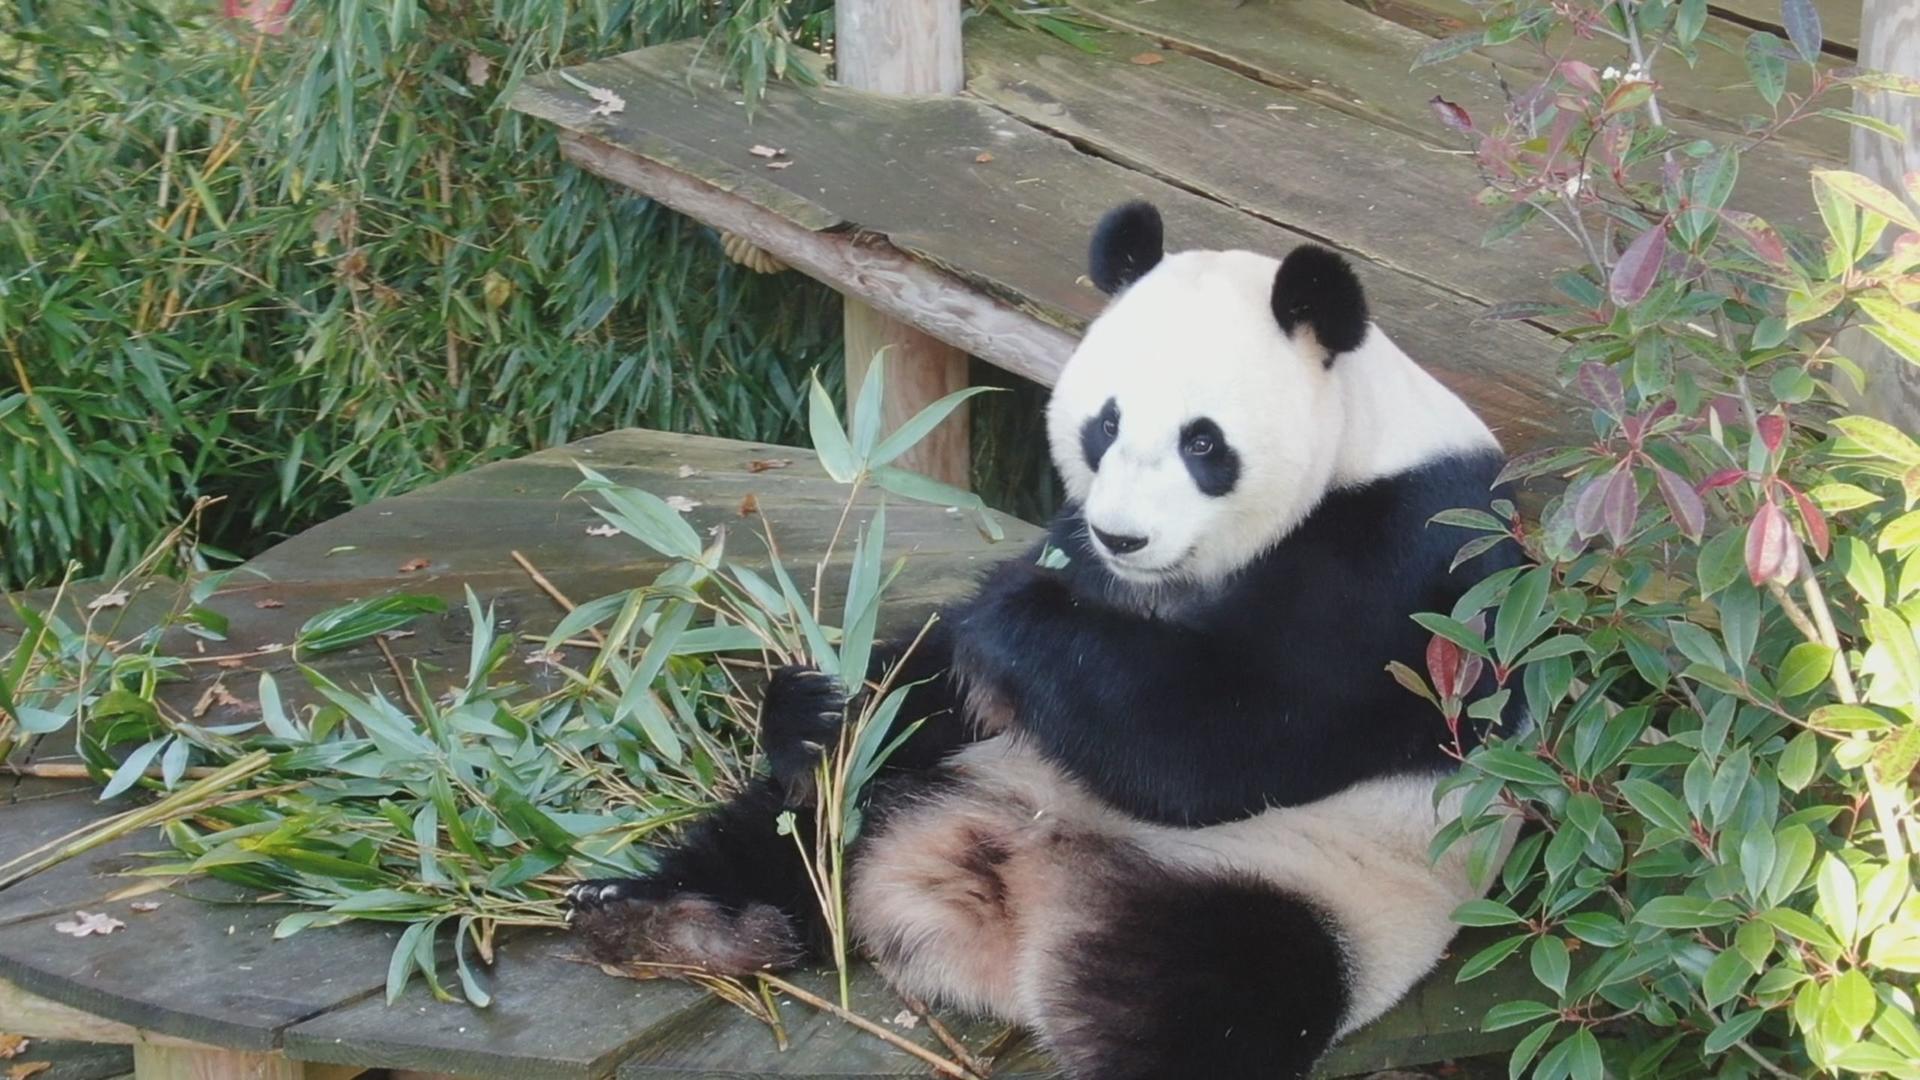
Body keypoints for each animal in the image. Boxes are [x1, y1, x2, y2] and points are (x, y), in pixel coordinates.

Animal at [560, 201, 1520, 1076]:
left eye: (1204, 443)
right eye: (1106, 423)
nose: (1124, 538)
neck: (1364, 438)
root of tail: (1005, 886)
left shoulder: (1411, 562)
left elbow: (1228, 737)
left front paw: (1012, 615)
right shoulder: (1078, 540)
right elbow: (930, 681)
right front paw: (816, 701)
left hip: (1316, 896)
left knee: (1214, 999)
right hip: (932, 782)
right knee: (801, 821)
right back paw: (662, 917)